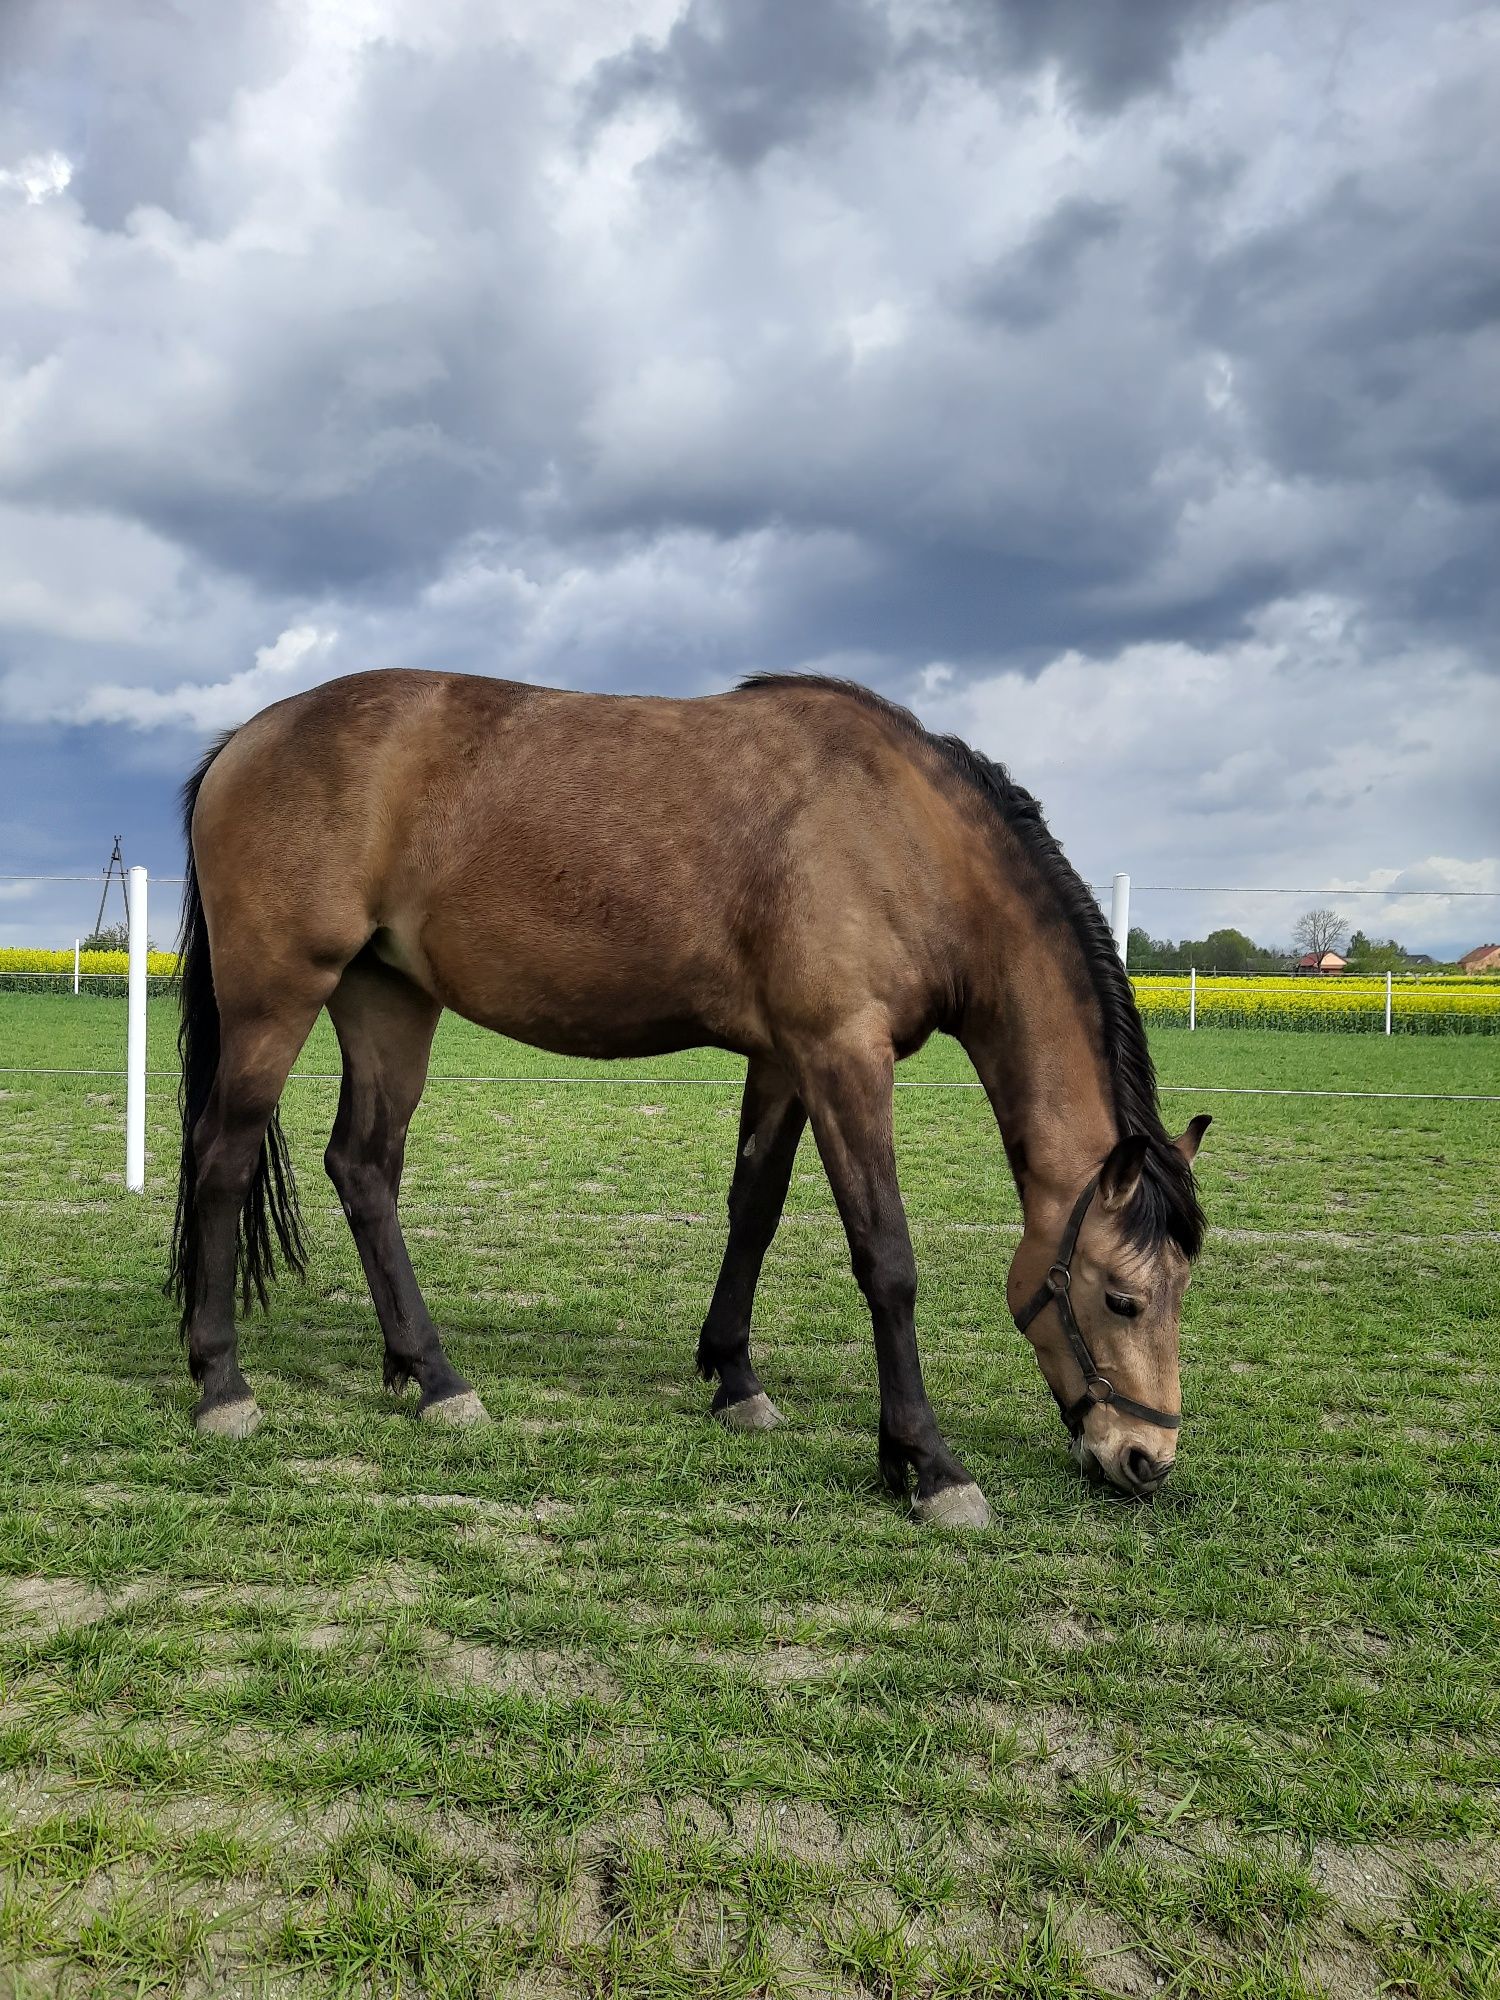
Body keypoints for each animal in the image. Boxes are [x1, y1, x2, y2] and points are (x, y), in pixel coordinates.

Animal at [170, 664, 1216, 1520]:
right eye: (1121, 1298)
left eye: (1180, 1289)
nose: (1145, 1459)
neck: (900, 831)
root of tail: (247, 737)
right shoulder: (844, 1055)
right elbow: (887, 1256)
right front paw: (927, 1465)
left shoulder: (786, 1060)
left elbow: (754, 1209)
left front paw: (736, 1380)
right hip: (278, 997)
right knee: (221, 1161)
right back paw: (224, 1386)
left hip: (387, 1001)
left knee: (364, 1169)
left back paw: (429, 1377)